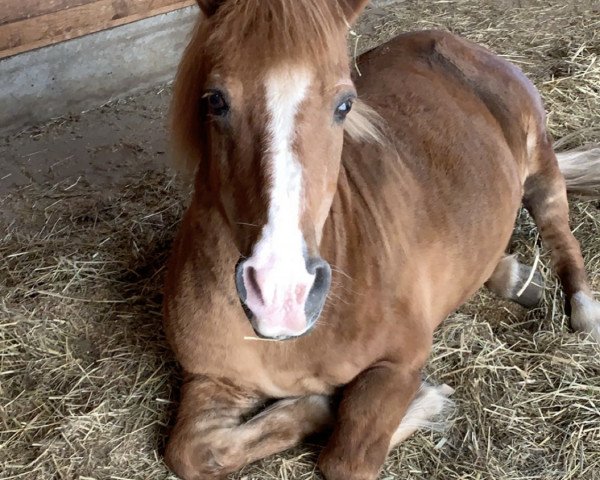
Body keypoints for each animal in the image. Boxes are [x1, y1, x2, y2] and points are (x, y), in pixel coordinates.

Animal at [161, 0, 600, 480]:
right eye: (215, 100)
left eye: (344, 105)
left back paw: (583, 313)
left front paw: (424, 401)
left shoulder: (401, 361)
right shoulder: (210, 379)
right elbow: (191, 452)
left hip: (540, 164)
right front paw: (316, 408)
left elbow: (347, 459)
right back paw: (513, 278)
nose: (281, 295)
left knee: (560, 232)